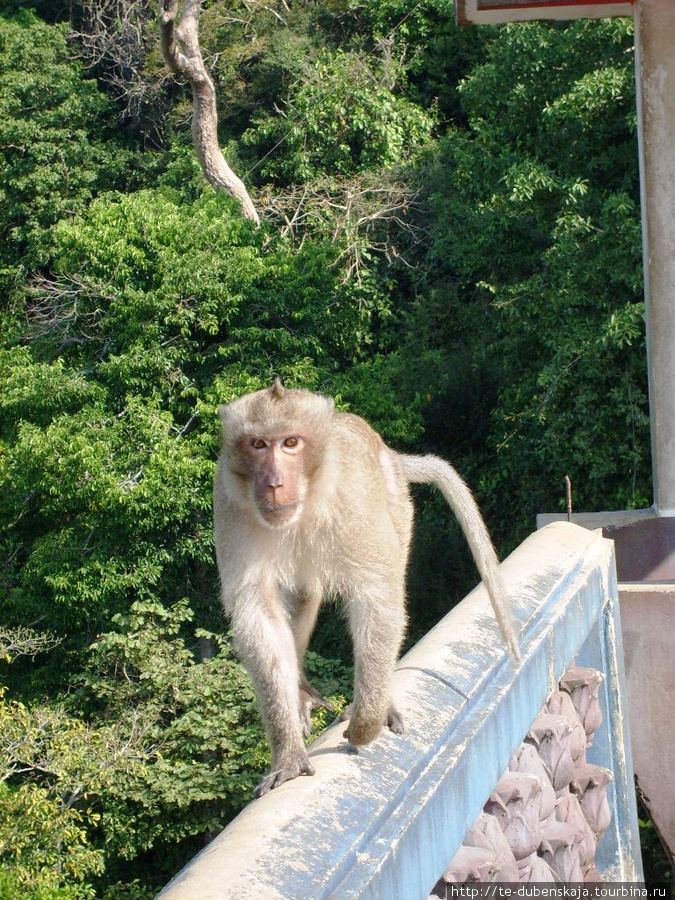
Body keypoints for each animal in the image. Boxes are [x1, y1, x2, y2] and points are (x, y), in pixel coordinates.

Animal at [214, 378, 520, 796]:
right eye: (258, 444)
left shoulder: (354, 497)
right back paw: (301, 694)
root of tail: (387, 450)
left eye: (291, 442)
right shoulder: (229, 505)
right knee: (305, 595)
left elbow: (377, 598)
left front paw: (365, 722)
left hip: (397, 503)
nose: (274, 483)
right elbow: (261, 618)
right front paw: (288, 752)